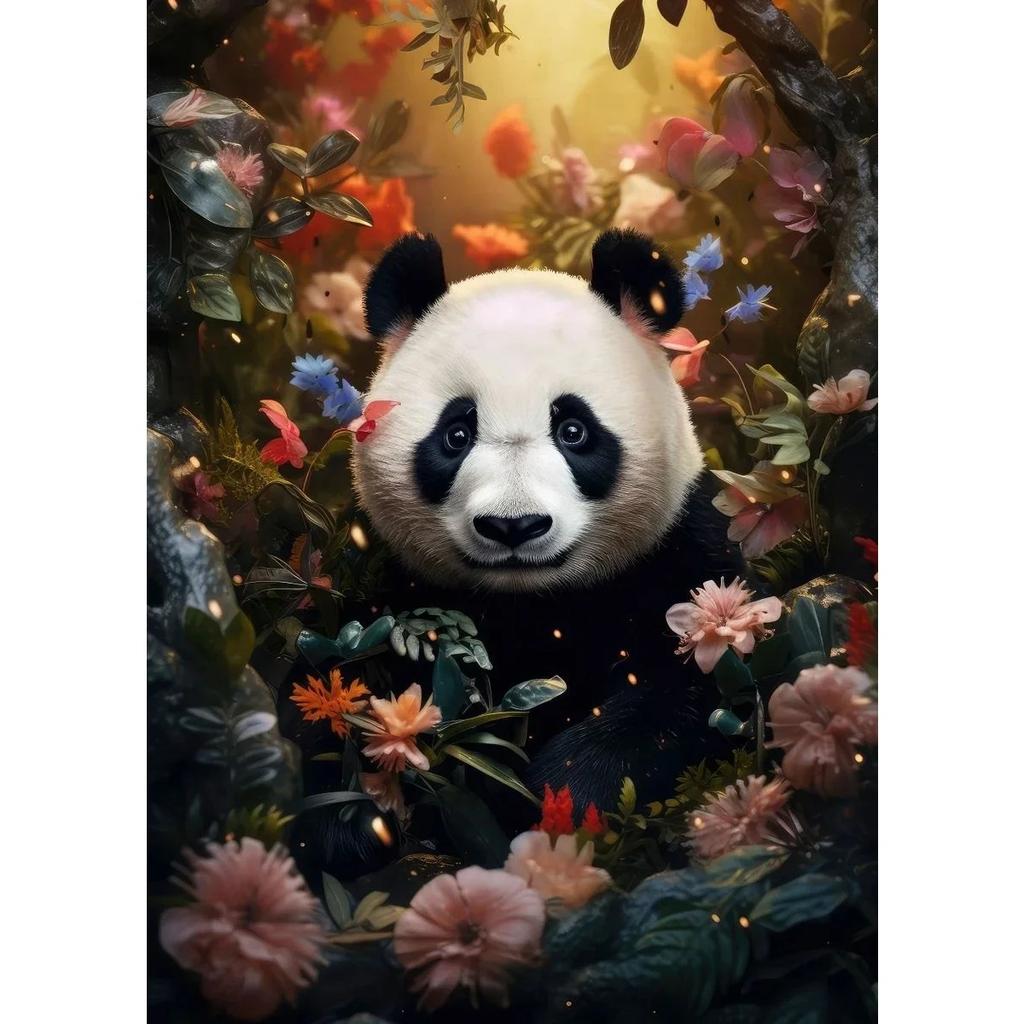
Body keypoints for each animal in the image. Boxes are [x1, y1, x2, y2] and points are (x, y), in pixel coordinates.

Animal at [346, 228, 752, 819]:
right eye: (456, 434)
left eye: (574, 430)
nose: (513, 527)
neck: (536, 603)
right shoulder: (394, 593)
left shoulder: (683, 556)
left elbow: (693, 690)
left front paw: (560, 795)